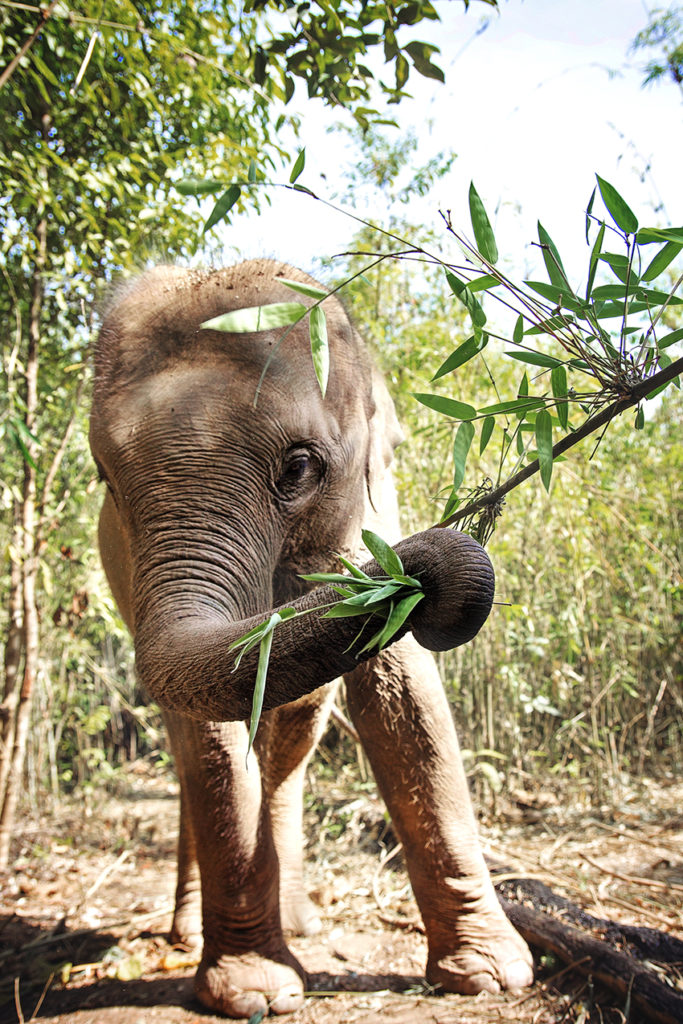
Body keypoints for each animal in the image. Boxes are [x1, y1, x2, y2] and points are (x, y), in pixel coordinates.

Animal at [88, 258, 532, 1015]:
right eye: (107, 481)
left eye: (299, 467)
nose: (444, 569)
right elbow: (213, 740)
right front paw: (255, 994)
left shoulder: (369, 512)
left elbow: (404, 700)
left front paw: (490, 977)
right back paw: (190, 933)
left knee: (290, 748)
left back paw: (297, 920)